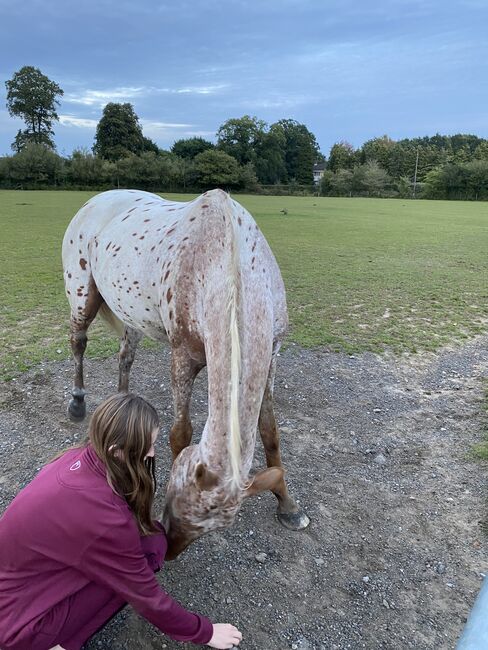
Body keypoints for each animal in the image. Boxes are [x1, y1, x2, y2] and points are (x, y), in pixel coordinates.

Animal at [63, 187, 310, 556]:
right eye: (174, 500)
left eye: (214, 526)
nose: (170, 549)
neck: (228, 259)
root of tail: (93, 201)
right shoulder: (183, 357)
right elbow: (181, 433)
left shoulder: (271, 359)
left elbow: (270, 432)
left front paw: (288, 506)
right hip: (81, 295)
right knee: (78, 342)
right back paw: (78, 403)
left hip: (129, 313)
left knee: (125, 356)